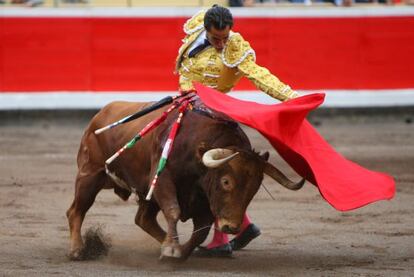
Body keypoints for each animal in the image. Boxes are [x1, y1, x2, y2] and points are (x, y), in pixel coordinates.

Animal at [65, 96, 304, 260]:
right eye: (226, 181)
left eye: (254, 188)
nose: (231, 227)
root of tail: (101, 114)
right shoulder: (162, 180)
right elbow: (173, 210)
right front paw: (172, 249)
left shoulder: (205, 198)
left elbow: (202, 231)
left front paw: (179, 251)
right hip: (90, 175)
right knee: (76, 211)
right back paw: (77, 250)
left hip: (144, 194)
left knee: (143, 219)